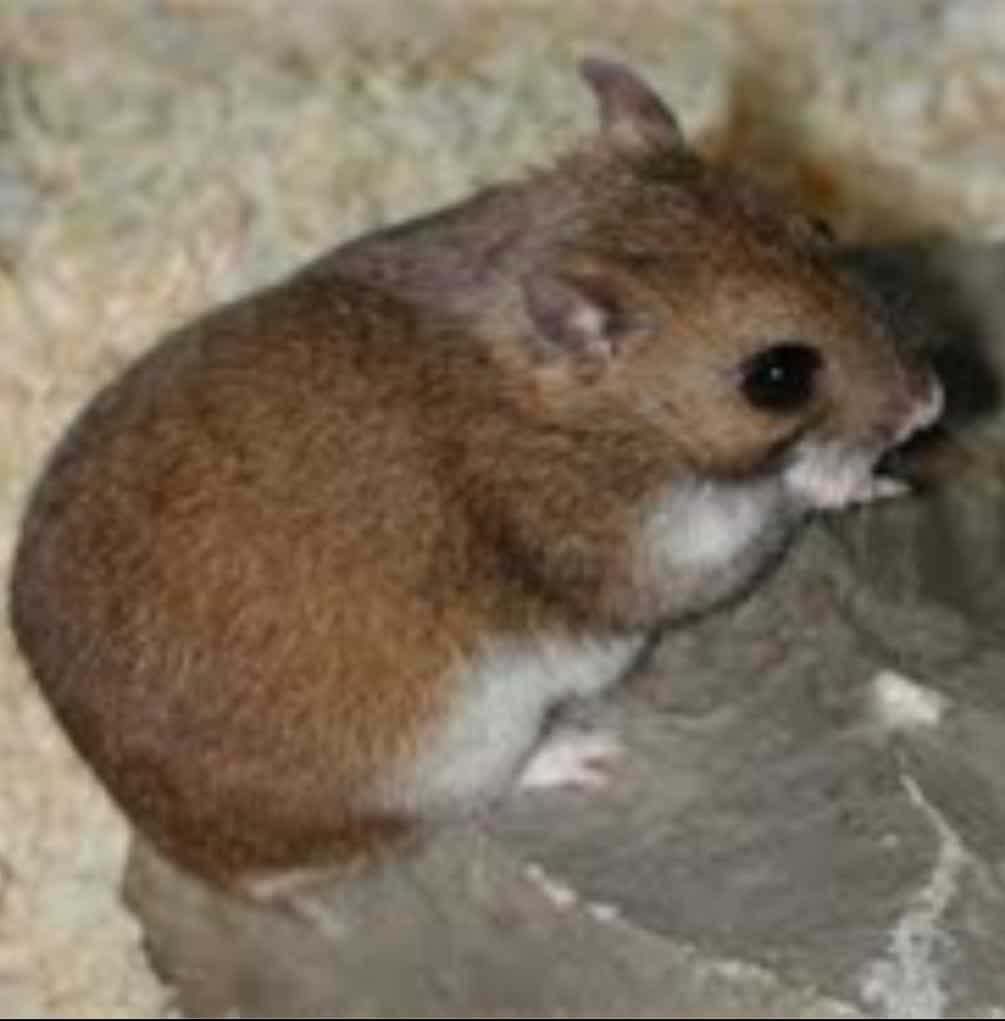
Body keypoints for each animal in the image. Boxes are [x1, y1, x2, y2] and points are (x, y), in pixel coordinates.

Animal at [8, 59, 943, 896]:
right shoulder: (644, 547)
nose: (931, 401)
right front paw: (863, 479)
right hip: (454, 745)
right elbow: (770, 502)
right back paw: (585, 755)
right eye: (777, 377)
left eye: (820, 227)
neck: (584, 412)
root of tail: (212, 861)